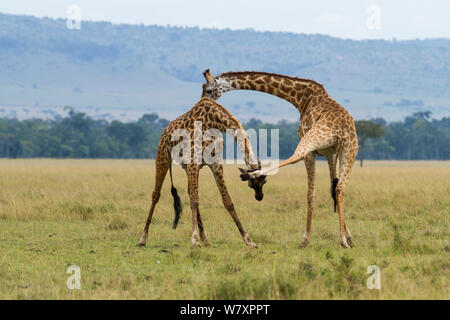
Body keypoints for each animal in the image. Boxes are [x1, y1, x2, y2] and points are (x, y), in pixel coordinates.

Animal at [137, 97, 268, 248]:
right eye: (252, 184)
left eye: (264, 181)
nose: (260, 196)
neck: (214, 122)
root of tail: (165, 130)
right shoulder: (193, 162)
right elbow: (194, 200)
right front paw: (194, 240)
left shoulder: (215, 163)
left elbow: (227, 201)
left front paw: (249, 240)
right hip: (163, 157)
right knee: (156, 194)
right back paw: (143, 238)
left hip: (187, 167)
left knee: (190, 192)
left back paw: (205, 239)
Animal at [202, 70, 360, 250]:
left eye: (208, 90)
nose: (203, 101)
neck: (301, 98)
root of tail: (341, 131)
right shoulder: (330, 153)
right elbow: (332, 188)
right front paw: (348, 237)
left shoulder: (313, 150)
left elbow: (311, 193)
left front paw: (306, 240)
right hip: (350, 151)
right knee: (340, 187)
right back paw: (344, 240)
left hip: (311, 141)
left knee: (294, 158)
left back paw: (252, 174)